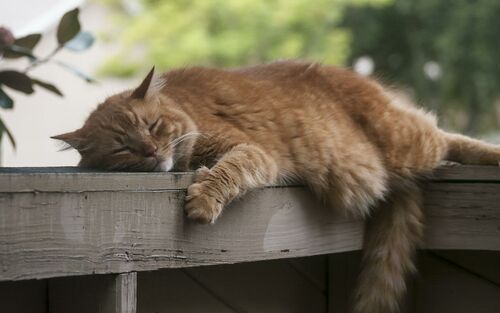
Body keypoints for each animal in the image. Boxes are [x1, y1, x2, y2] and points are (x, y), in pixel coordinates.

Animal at [51, 61, 500, 312]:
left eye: (153, 125)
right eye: (123, 147)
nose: (150, 151)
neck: (183, 106)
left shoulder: (252, 152)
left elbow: (227, 173)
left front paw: (203, 200)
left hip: (405, 143)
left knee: (447, 135)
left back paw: (491, 153)